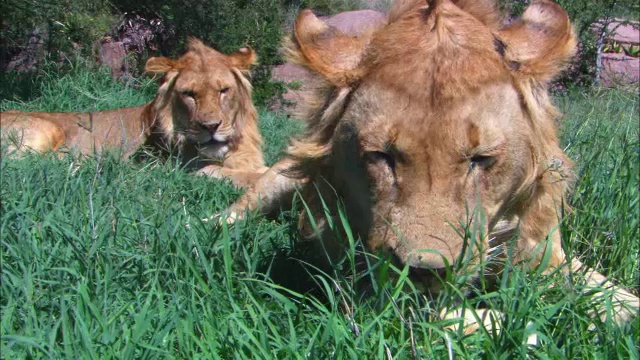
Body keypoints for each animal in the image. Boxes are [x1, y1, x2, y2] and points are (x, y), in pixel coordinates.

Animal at [0, 38, 264, 187]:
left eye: (223, 91)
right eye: (189, 94)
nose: (210, 127)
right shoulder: (172, 168)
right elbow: (228, 173)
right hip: (46, 130)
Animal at [221, 0, 640, 332]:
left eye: (480, 159)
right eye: (383, 156)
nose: (424, 272)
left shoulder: (545, 253)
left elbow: (613, 296)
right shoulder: (358, 278)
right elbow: (457, 316)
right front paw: (519, 322)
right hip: (277, 180)